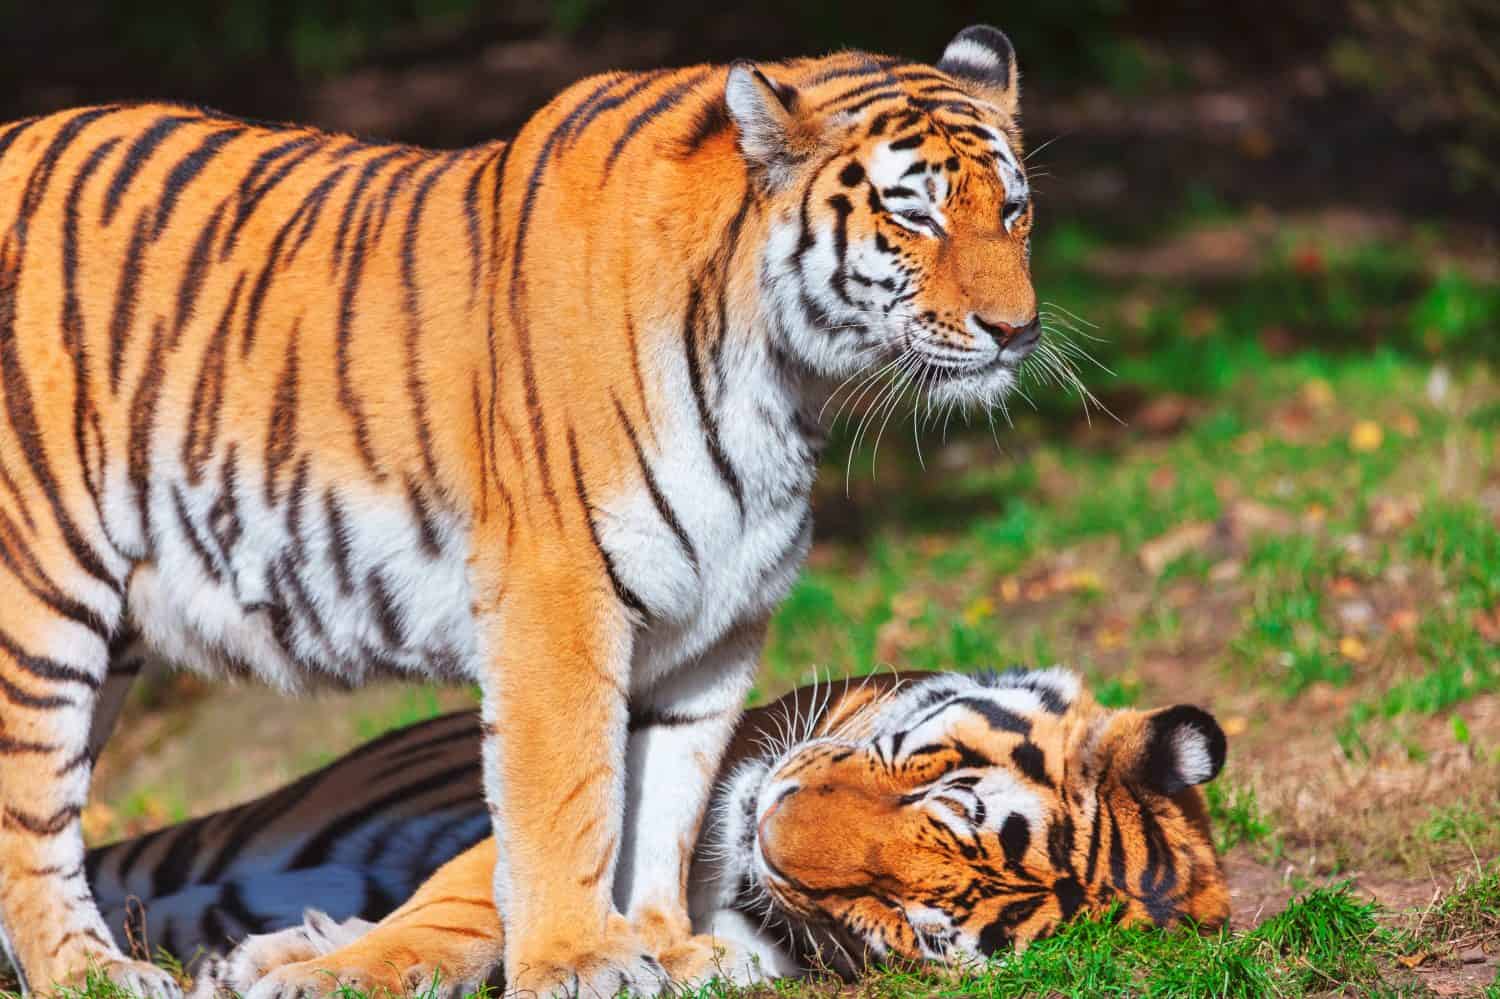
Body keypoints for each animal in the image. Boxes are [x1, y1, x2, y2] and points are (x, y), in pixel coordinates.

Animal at [0, 24, 1042, 997]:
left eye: (1013, 209)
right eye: (915, 214)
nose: (1018, 331)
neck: (783, 384)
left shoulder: (716, 625)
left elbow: (667, 797)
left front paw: (668, 947)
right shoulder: (557, 594)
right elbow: (572, 794)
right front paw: (580, 958)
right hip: (41, 596)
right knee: (31, 814)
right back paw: (94, 971)